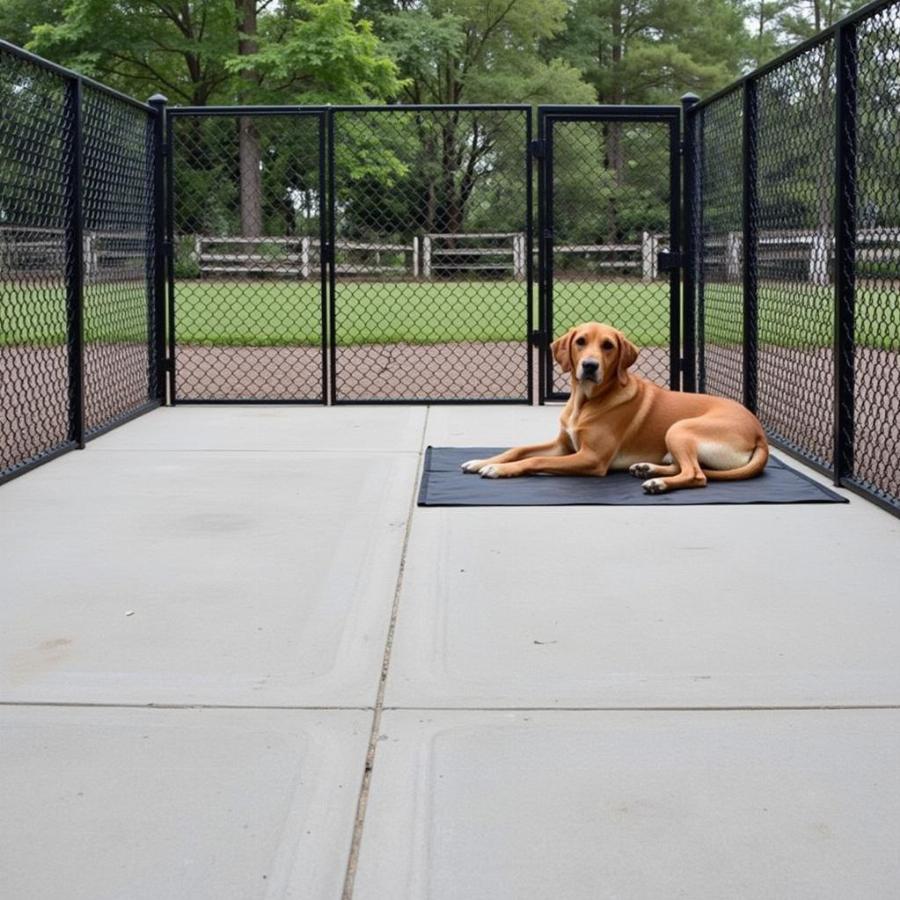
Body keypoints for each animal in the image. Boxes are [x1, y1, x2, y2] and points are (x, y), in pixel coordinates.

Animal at [464, 322, 768, 492]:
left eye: (608, 345)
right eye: (580, 341)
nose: (589, 365)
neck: (585, 401)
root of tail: (759, 433)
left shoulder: (591, 458)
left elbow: (535, 460)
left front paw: (499, 470)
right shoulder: (563, 445)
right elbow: (518, 449)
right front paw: (482, 461)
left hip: (680, 428)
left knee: (697, 475)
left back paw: (657, 483)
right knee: (685, 467)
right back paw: (647, 469)